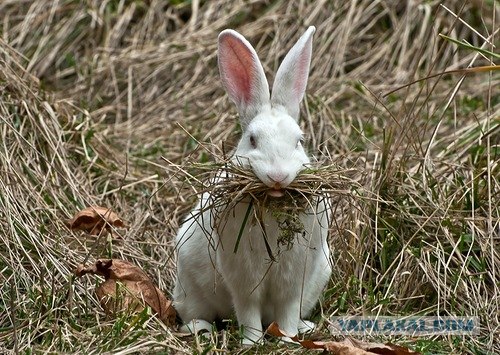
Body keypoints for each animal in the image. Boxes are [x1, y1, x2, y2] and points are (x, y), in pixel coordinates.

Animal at [173, 26, 332, 346]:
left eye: (299, 141)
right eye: (252, 140)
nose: (278, 175)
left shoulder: (293, 281)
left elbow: (286, 311)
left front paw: (287, 339)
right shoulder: (243, 280)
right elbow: (248, 312)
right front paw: (252, 343)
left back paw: (306, 328)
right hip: (189, 287)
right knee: (193, 314)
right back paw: (201, 329)